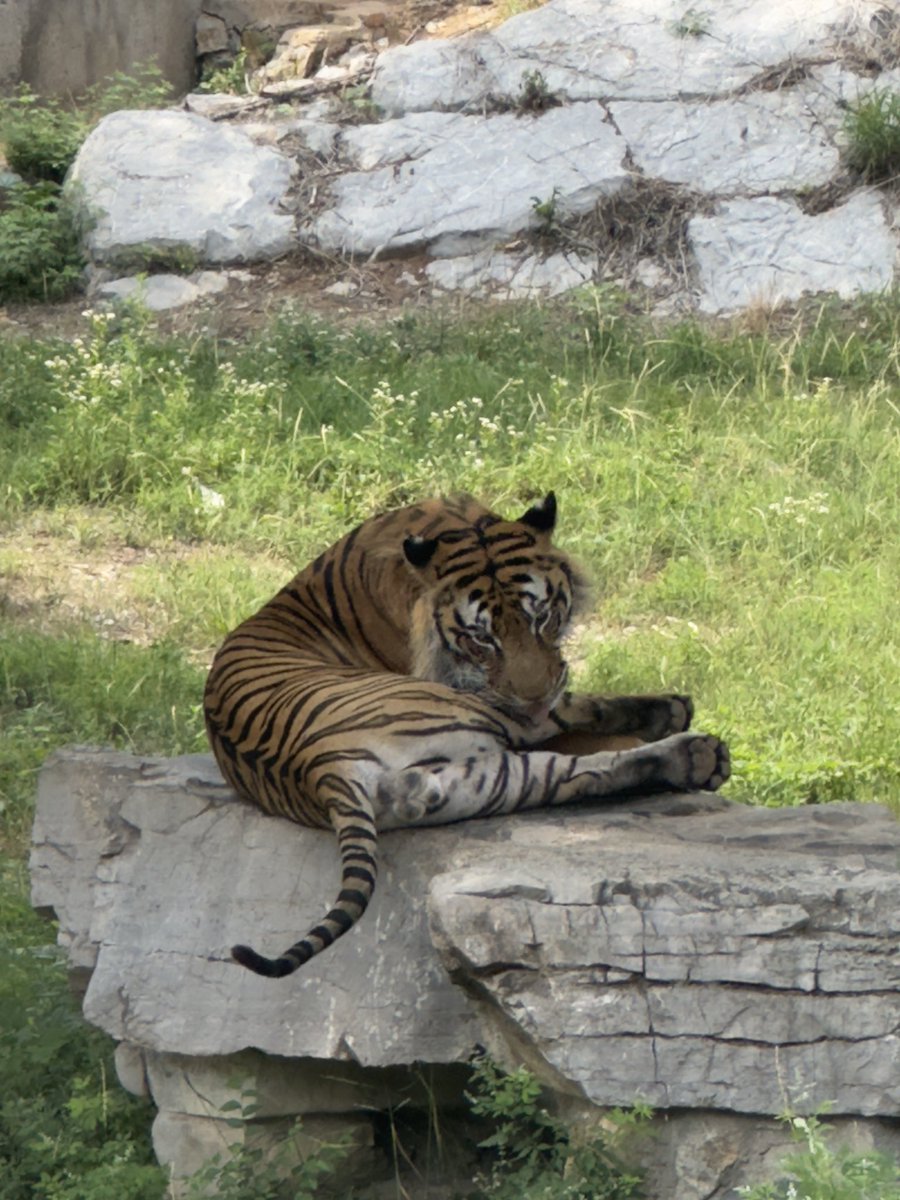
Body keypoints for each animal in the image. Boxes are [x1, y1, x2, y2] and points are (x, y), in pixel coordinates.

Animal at [204, 492, 729, 979]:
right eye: (482, 638)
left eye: (542, 617)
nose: (534, 696)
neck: (452, 521)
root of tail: (319, 769)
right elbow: (578, 706)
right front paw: (667, 708)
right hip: (473, 715)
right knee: (572, 740)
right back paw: (696, 745)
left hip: (492, 781)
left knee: (586, 775)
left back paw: (697, 759)